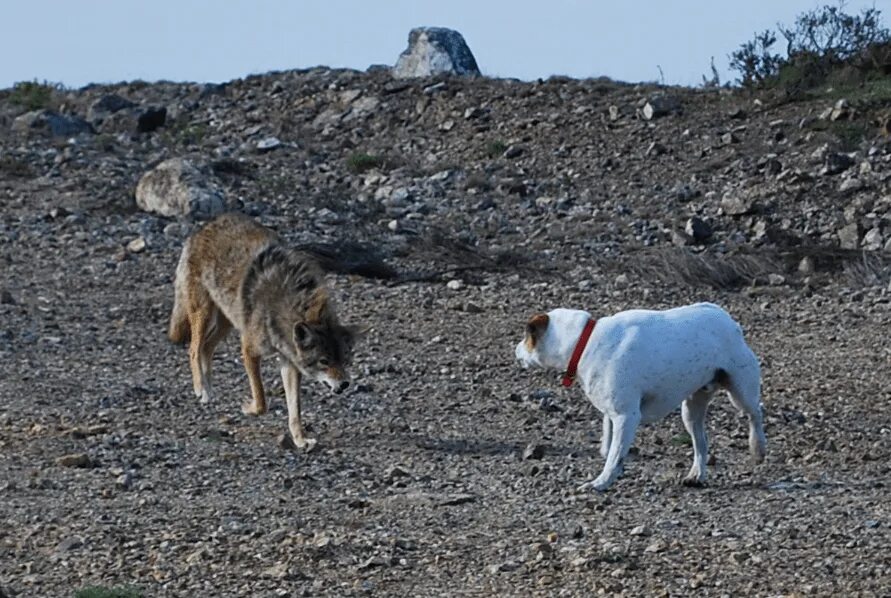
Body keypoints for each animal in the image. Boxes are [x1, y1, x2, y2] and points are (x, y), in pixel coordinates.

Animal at [516, 302, 768, 494]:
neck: (583, 342)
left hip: (741, 392)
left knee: (755, 413)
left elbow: (614, 456)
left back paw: (758, 448)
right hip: (691, 411)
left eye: (527, 336)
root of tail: (729, 321)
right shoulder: (614, 414)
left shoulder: (626, 416)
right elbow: (610, 446)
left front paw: (601, 482)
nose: (515, 349)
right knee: (701, 442)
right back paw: (696, 474)